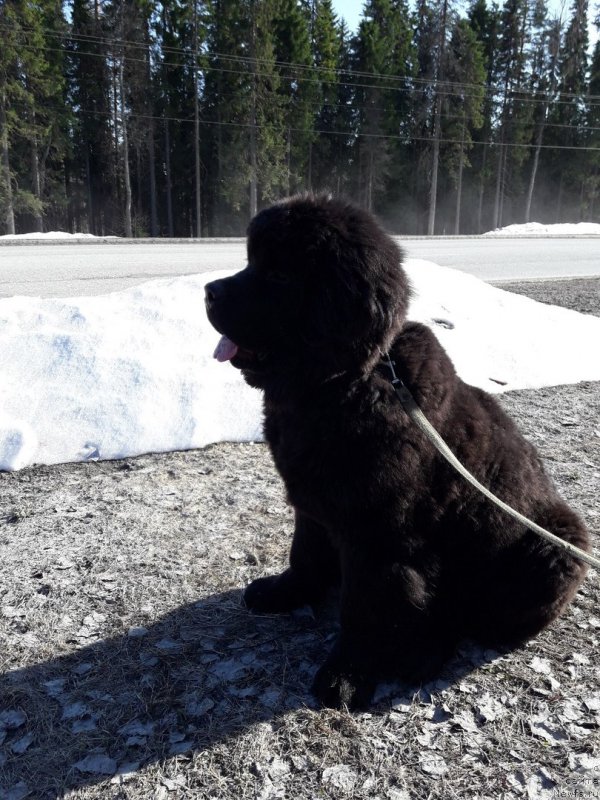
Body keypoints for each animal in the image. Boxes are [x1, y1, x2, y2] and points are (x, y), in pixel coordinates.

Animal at [204, 194, 588, 708]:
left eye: (280, 275)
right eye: (250, 262)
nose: (208, 291)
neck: (347, 384)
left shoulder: (378, 536)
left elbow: (363, 609)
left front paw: (346, 674)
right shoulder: (312, 503)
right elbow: (304, 553)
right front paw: (285, 592)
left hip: (558, 549)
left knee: (463, 617)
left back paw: (420, 653)